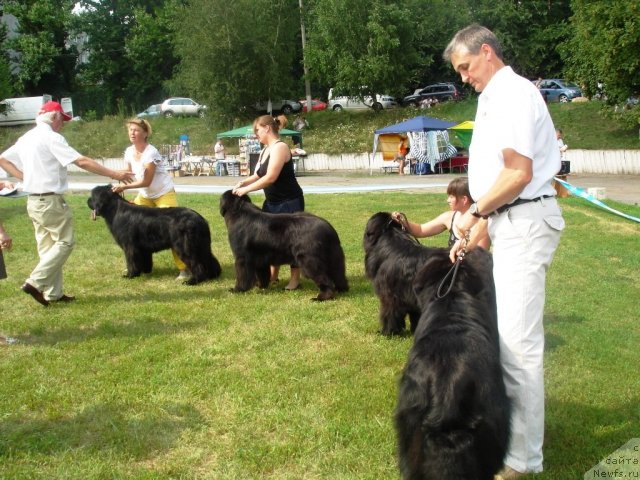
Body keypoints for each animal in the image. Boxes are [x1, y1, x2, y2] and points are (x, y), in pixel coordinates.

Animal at [88, 185, 220, 284]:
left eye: (93, 196)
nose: (87, 201)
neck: (114, 210)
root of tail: (200, 219)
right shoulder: (142, 248)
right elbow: (144, 260)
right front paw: (144, 272)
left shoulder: (129, 246)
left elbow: (131, 261)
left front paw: (131, 275)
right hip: (202, 245)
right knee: (208, 258)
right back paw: (212, 275)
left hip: (186, 246)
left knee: (196, 263)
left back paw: (193, 281)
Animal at [220, 190, 350, 300]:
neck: (238, 211)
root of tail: (329, 228)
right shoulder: (260, 258)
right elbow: (262, 274)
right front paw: (261, 286)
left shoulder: (242, 257)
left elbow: (242, 275)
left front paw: (237, 289)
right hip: (334, 257)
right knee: (338, 274)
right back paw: (341, 289)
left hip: (310, 260)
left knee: (325, 279)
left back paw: (322, 297)